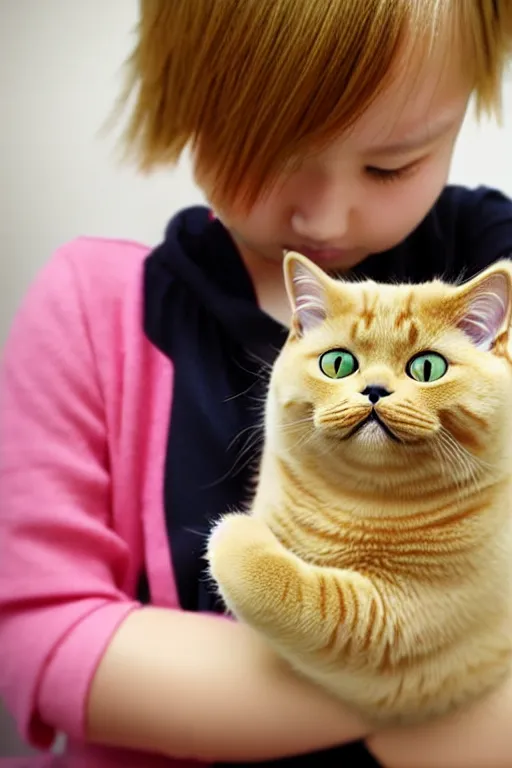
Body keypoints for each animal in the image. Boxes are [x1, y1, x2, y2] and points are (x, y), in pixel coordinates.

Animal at [206, 252, 512, 728]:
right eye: (337, 364)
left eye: (428, 368)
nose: (375, 390)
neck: (357, 505)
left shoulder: (396, 629)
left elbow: (319, 599)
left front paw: (235, 537)